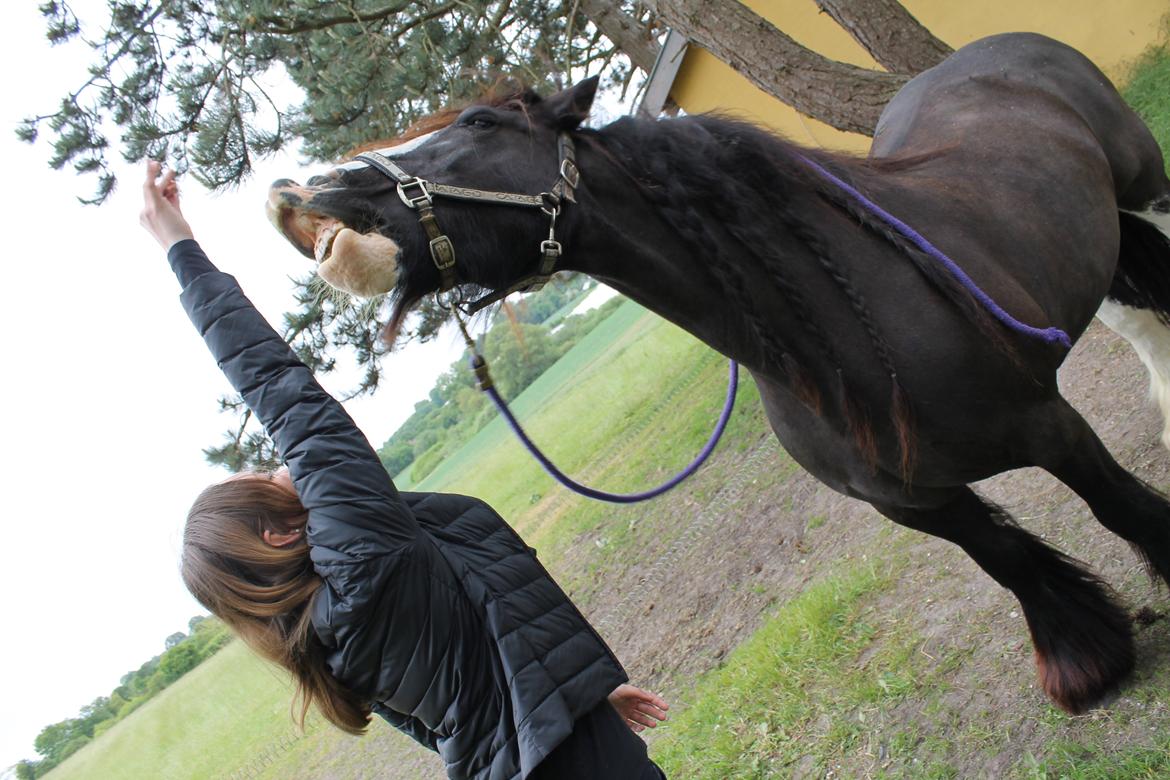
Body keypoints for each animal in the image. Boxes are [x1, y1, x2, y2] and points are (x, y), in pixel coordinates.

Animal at [269, 32, 1170, 715]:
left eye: (483, 122)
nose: (310, 201)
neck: (845, 321)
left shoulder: (1052, 430)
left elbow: (1119, 507)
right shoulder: (917, 503)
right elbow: (1010, 562)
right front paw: (1089, 660)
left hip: (1147, 188)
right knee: (1133, 309)